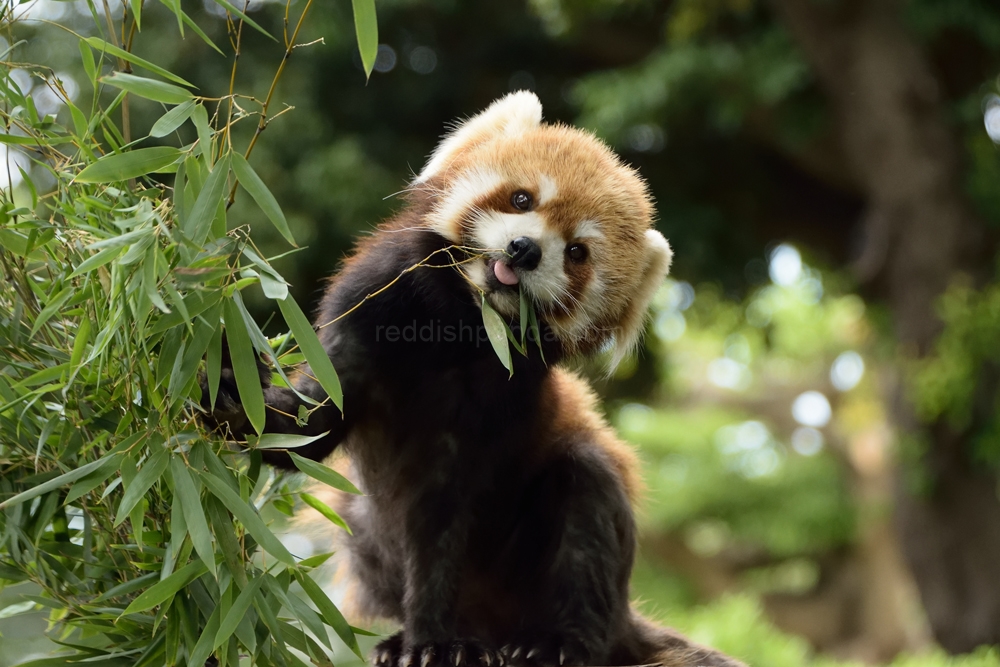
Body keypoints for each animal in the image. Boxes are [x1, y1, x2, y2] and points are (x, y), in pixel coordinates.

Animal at [207, 92, 748, 667]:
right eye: (521, 198)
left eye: (577, 252)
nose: (524, 250)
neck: (459, 319)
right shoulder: (368, 311)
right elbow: (307, 429)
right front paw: (229, 389)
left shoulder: (491, 400)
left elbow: (441, 517)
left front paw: (433, 642)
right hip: (365, 533)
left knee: (586, 491)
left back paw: (555, 641)